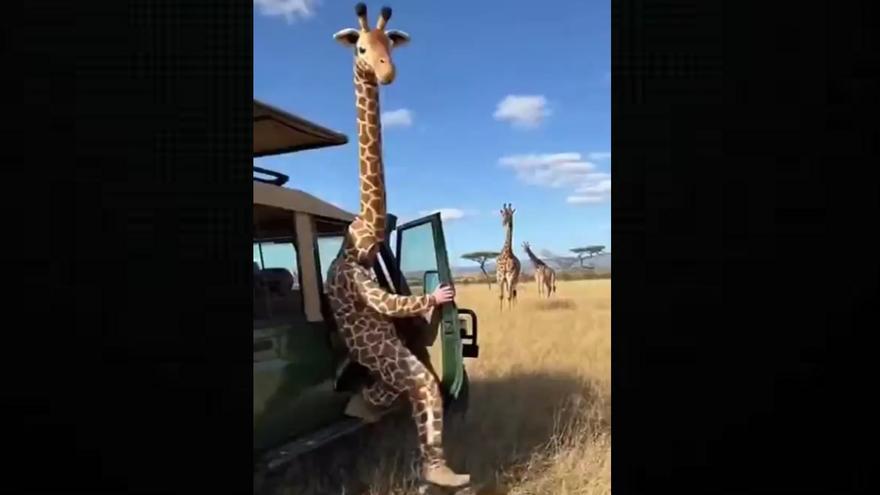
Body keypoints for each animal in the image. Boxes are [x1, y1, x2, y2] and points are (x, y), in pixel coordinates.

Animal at [323, 4, 469, 489]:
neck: (360, 237)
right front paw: (436, 296)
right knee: (420, 388)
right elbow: (386, 302)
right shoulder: (359, 280)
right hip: (387, 359)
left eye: (391, 45)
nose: (387, 73)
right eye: (361, 49)